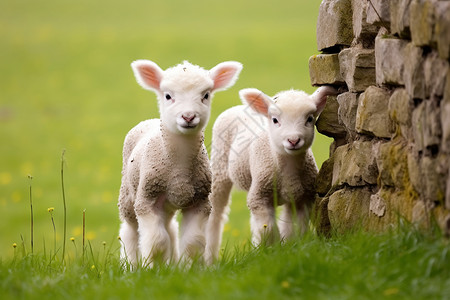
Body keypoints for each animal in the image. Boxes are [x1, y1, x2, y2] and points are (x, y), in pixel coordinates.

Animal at [118, 59, 241, 268]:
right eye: (168, 96)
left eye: (206, 95)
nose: (188, 116)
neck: (179, 170)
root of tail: (148, 121)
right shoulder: (147, 200)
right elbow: (157, 240)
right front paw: (153, 267)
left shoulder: (200, 203)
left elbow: (192, 242)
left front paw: (187, 268)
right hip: (128, 194)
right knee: (129, 231)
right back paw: (130, 265)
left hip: (167, 205)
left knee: (170, 228)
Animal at [206, 85, 336, 262]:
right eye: (275, 120)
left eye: (310, 119)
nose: (293, 140)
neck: (287, 171)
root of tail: (237, 107)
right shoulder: (260, 197)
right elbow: (267, 229)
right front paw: (272, 251)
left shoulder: (302, 198)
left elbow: (295, 228)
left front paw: (288, 248)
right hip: (220, 168)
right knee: (217, 213)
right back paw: (209, 258)